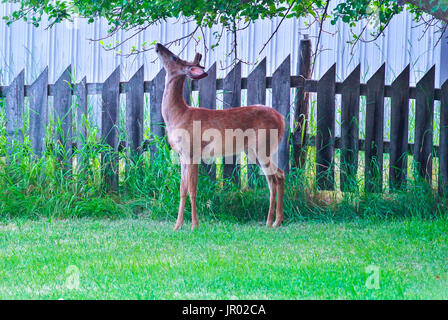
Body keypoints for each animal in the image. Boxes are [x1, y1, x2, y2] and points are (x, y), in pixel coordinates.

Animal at [156, 43, 286, 231]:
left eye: (175, 57)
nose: (158, 45)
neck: (178, 115)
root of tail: (282, 119)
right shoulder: (182, 155)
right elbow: (182, 189)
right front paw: (177, 225)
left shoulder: (192, 151)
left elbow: (192, 189)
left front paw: (194, 225)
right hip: (255, 151)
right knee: (275, 177)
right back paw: (273, 221)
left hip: (263, 146)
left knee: (276, 177)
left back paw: (273, 221)